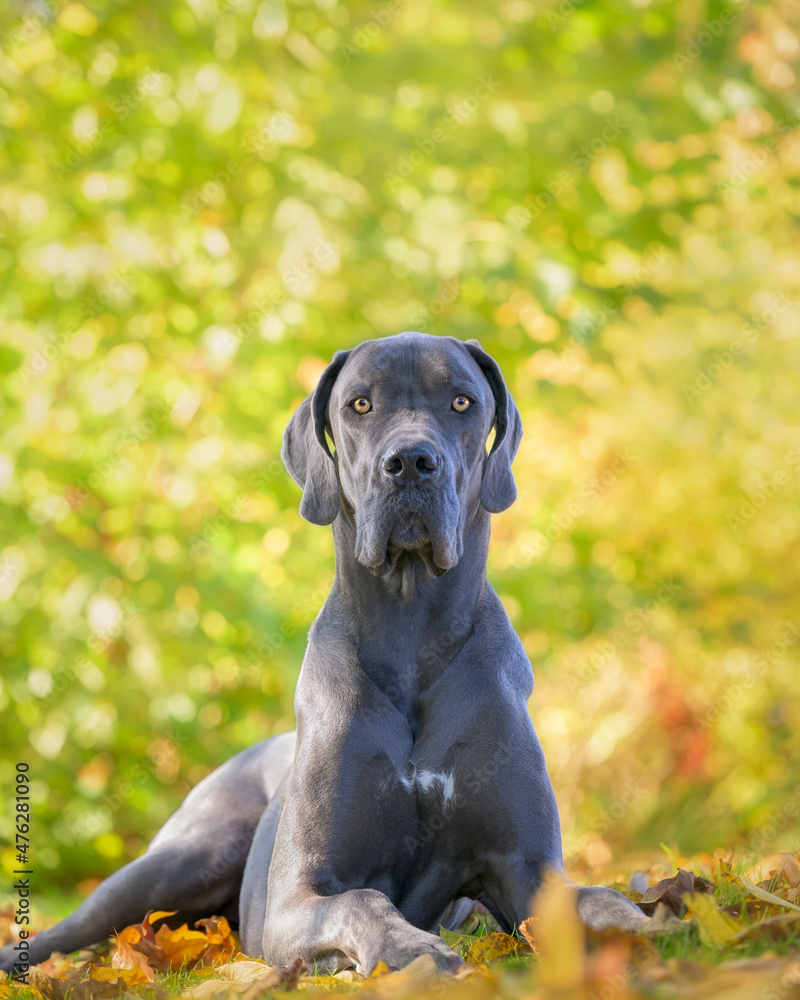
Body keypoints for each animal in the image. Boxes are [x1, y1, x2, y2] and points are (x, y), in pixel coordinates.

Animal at [0, 334, 648, 976]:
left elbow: (598, 897)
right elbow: (362, 901)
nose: (410, 462)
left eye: (463, 402)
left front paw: (647, 924)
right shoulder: (296, 896)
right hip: (184, 857)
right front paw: (411, 948)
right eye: (360, 404)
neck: (410, 627)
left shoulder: (526, 867)